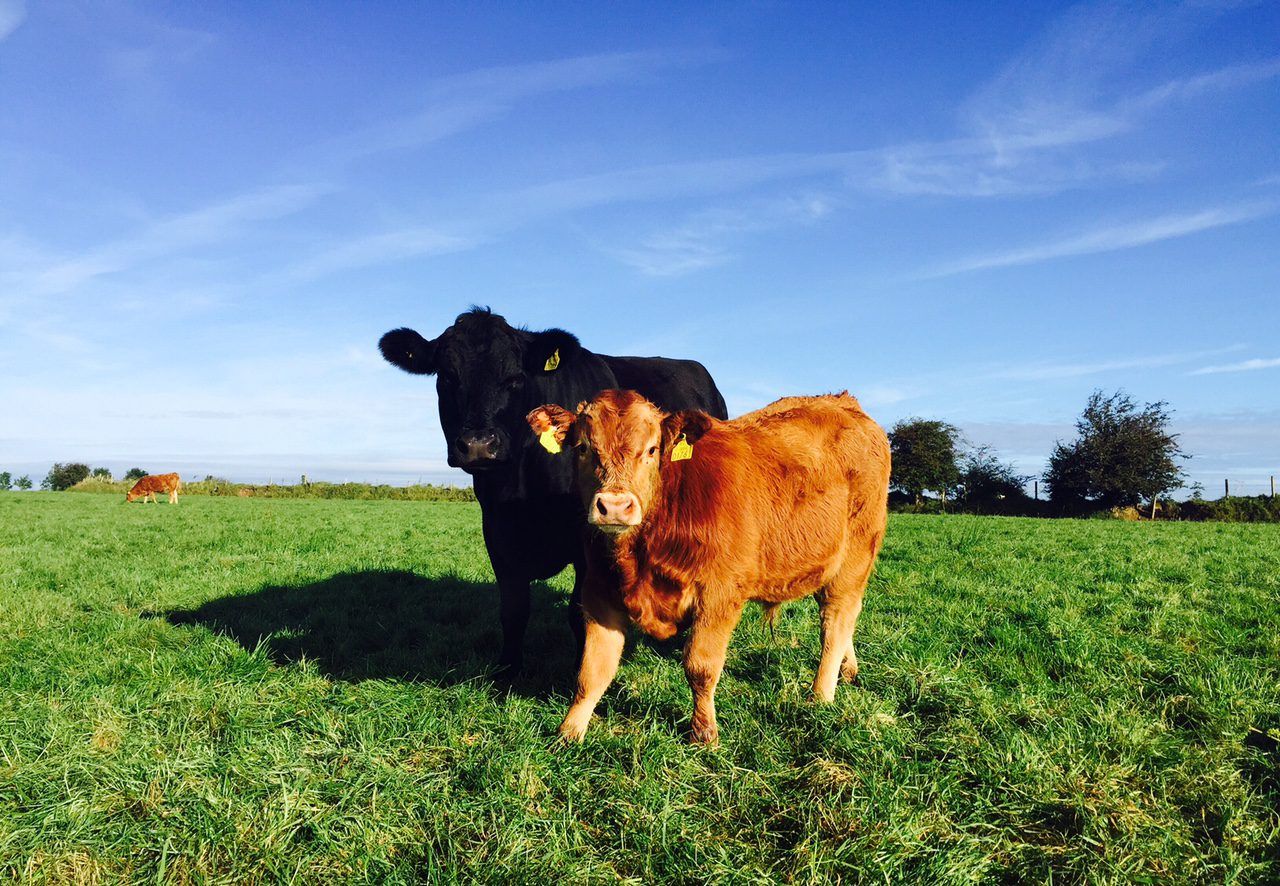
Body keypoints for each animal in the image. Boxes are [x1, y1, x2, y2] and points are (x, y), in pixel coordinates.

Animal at [379, 308, 727, 675]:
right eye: (447, 376)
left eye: (515, 378)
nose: (478, 445)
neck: (524, 493)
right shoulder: (497, 532)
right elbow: (513, 608)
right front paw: (507, 672)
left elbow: (579, 613)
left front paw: (579, 672)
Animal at [526, 389, 890, 744]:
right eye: (584, 448)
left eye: (652, 449)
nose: (615, 506)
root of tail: (843, 402)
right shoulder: (599, 593)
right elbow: (592, 670)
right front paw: (569, 731)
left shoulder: (719, 595)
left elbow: (700, 666)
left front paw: (703, 731)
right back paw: (847, 670)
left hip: (855, 556)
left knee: (836, 620)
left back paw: (821, 694)